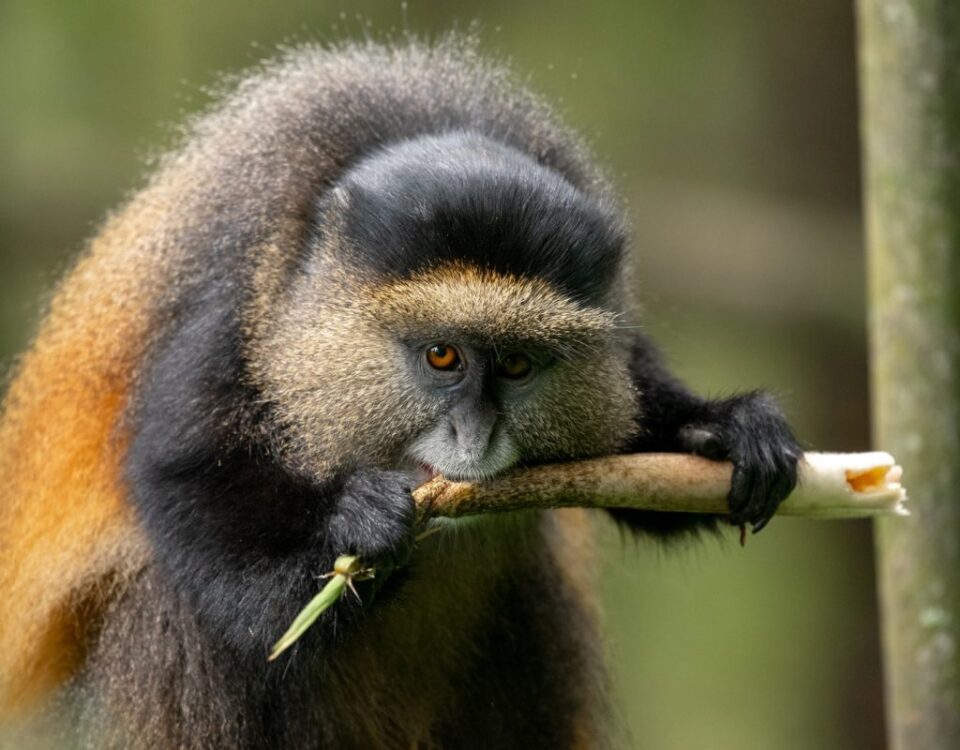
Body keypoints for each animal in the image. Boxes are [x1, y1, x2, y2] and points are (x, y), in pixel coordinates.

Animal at [0, 36, 801, 749]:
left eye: (517, 366)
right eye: (442, 356)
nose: (474, 439)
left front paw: (728, 429)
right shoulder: (228, 301)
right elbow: (187, 484)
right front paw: (357, 528)